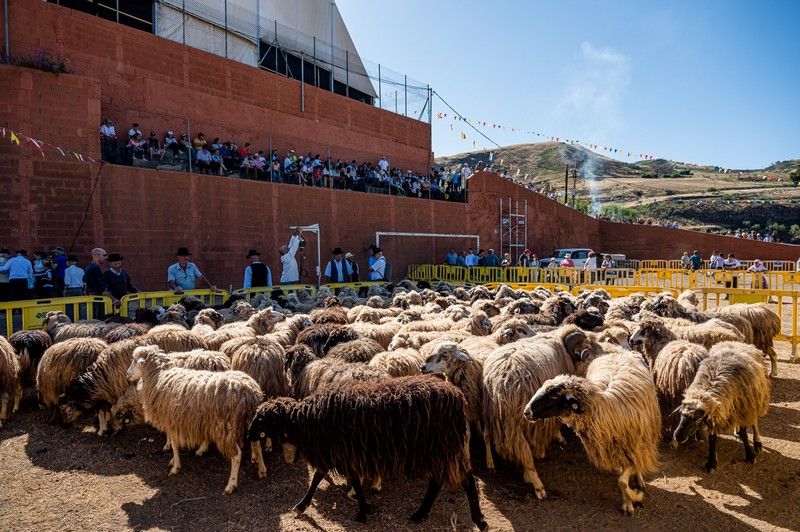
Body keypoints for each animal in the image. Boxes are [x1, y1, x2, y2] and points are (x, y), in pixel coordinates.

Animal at [126, 344, 266, 494]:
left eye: (134, 360)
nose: (127, 375)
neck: (159, 376)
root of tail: (249, 392)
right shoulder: (173, 419)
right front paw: (174, 460)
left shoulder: (172, 421)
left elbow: (174, 444)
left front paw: (175, 466)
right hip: (250, 418)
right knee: (257, 442)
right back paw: (262, 469)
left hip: (225, 427)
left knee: (237, 455)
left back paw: (231, 484)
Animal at [250, 374, 488, 528]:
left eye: (261, 418)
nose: (249, 435)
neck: (307, 420)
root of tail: (458, 396)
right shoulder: (339, 453)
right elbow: (321, 478)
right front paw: (303, 505)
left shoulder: (343, 452)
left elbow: (339, 480)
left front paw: (362, 510)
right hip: (436, 451)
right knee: (439, 482)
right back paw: (421, 514)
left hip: (441, 448)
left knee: (466, 479)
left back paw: (478, 519)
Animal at [482, 324, 600, 498]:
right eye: (589, 349)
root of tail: (501, 384)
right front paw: (559, 437)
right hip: (522, 420)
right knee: (524, 450)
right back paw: (537, 485)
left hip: (492, 413)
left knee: (488, 435)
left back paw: (491, 463)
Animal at [520, 350, 660, 516]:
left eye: (553, 395)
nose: (526, 412)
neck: (603, 410)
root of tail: (619, 352)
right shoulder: (614, 451)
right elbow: (622, 481)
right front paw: (629, 501)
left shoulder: (633, 448)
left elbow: (623, 480)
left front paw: (636, 497)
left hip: (643, 439)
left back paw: (640, 480)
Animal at [676, 340, 768, 470]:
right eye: (681, 415)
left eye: (697, 420)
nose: (678, 436)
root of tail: (736, 342)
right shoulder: (717, 413)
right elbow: (712, 438)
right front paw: (711, 462)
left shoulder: (742, 407)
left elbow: (745, 435)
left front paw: (750, 455)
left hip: (754, 399)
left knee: (754, 421)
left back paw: (757, 442)